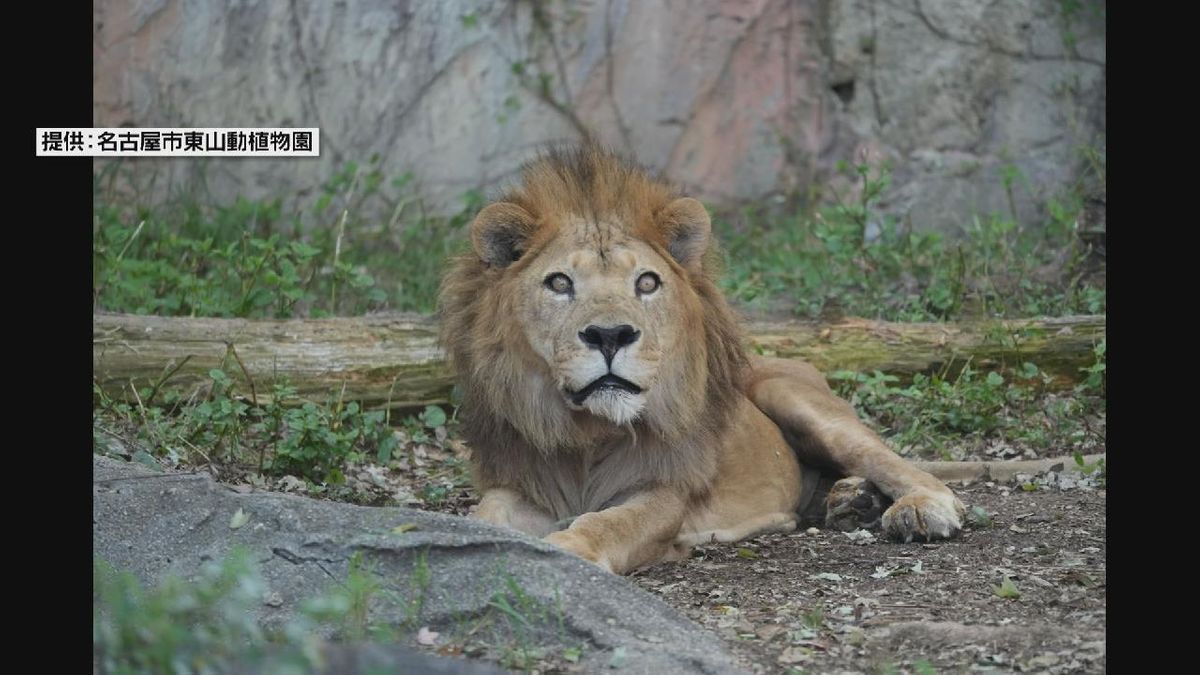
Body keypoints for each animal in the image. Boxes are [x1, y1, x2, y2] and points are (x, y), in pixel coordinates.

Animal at [441, 142, 964, 571]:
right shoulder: (519, 485)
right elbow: (486, 514)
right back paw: (852, 501)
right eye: (559, 283)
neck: (588, 435)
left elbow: (609, 523)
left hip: (791, 397)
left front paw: (566, 549)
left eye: (646, 282)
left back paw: (918, 508)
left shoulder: (666, 493)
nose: (610, 335)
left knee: (893, 462)